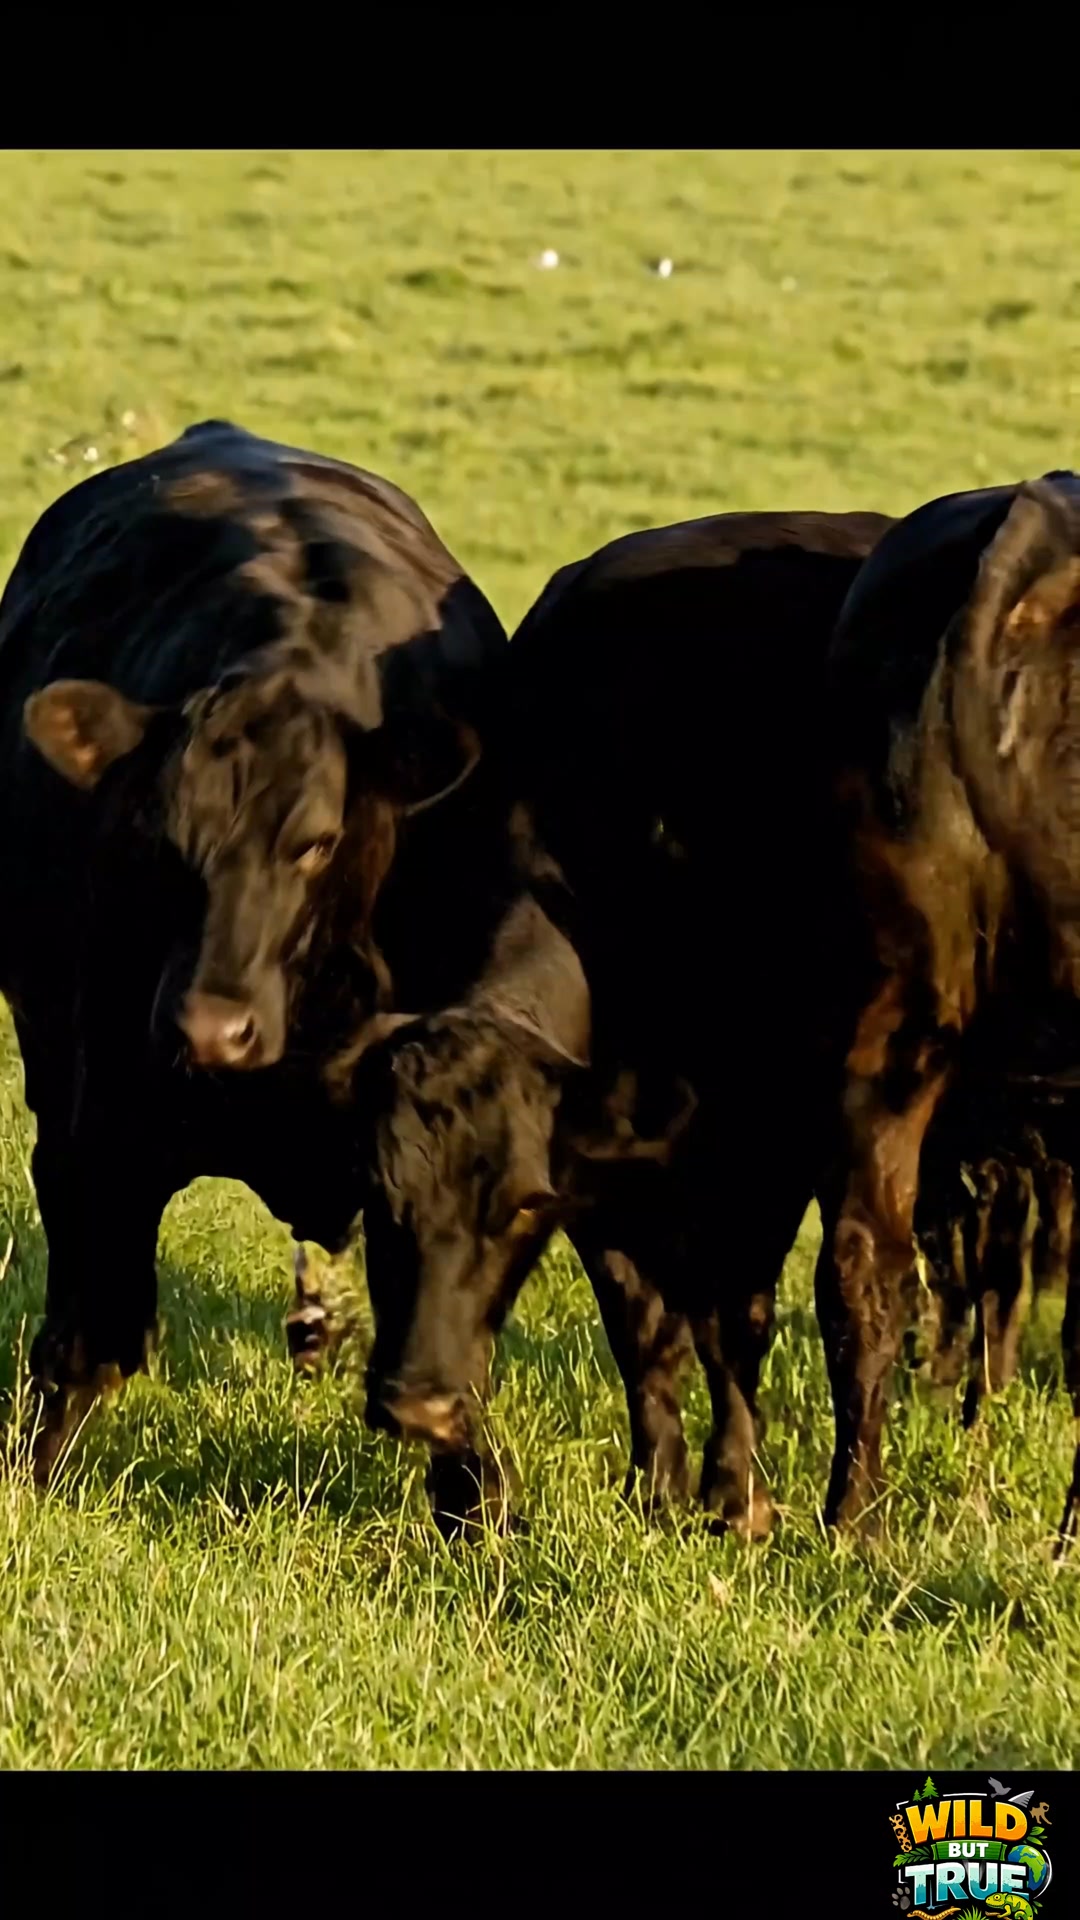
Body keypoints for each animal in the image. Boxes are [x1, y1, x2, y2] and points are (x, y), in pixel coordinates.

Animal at [314, 509, 896, 1539]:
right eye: (379, 1194)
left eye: (513, 1206)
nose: (418, 1403)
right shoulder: (597, 1167)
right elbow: (643, 1323)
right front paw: (655, 1484)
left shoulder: (767, 1143)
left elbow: (736, 1322)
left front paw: (734, 1496)